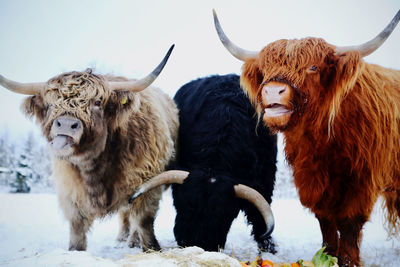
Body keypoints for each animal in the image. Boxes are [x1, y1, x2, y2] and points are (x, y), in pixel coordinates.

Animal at [214, 9, 400, 266]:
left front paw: (347, 261)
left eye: (313, 67)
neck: (324, 143)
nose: (273, 90)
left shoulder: (361, 183)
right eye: (266, 68)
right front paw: (327, 255)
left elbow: (349, 228)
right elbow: (327, 226)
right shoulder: (312, 182)